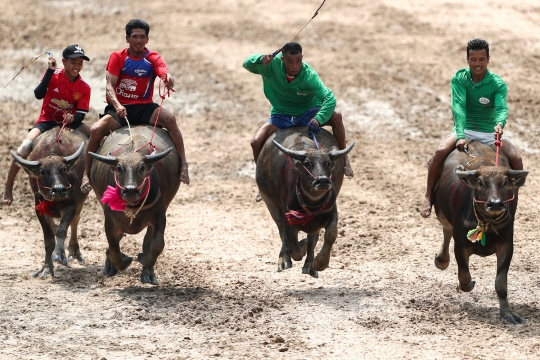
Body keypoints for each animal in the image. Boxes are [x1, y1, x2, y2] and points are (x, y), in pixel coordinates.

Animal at [10, 130, 87, 278]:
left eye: (64, 169)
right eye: (42, 172)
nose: (59, 190)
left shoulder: (71, 206)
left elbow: (61, 230)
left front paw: (58, 255)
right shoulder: (40, 209)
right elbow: (49, 240)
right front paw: (46, 267)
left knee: (74, 222)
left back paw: (74, 252)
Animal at [88, 125, 181, 286]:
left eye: (142, 167)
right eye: (119, 168)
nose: (130, 190)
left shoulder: (159, 216)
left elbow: (157, 245)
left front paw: (143, 258)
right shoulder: (110, 220)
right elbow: (114, 248)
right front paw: (123, 261)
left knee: (148, 241)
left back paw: (148, 273)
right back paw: (110, 266)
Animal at [256, 128, 354, 278]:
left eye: (328, 163)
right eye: (307, 163)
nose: (323, 181)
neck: (311, 203)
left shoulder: (331, 212)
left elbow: (330, 234)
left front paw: (320, 263)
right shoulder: (288, 217)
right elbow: (294, 247)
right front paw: (299, 249)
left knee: (312, 238)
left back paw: (310, 266)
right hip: (270, 202)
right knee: (282, 232)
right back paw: (283, 259)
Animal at [434, 141, 528, 324]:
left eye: (505, 182)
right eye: (480, 182)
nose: (495, 204)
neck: (487, 225)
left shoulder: (506, 246)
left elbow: (501, 283)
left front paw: (508, 314)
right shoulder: (460, 246)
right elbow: (464, 276)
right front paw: (469, 284)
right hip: (441, 213)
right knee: (447, 230)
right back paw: (441, 260)